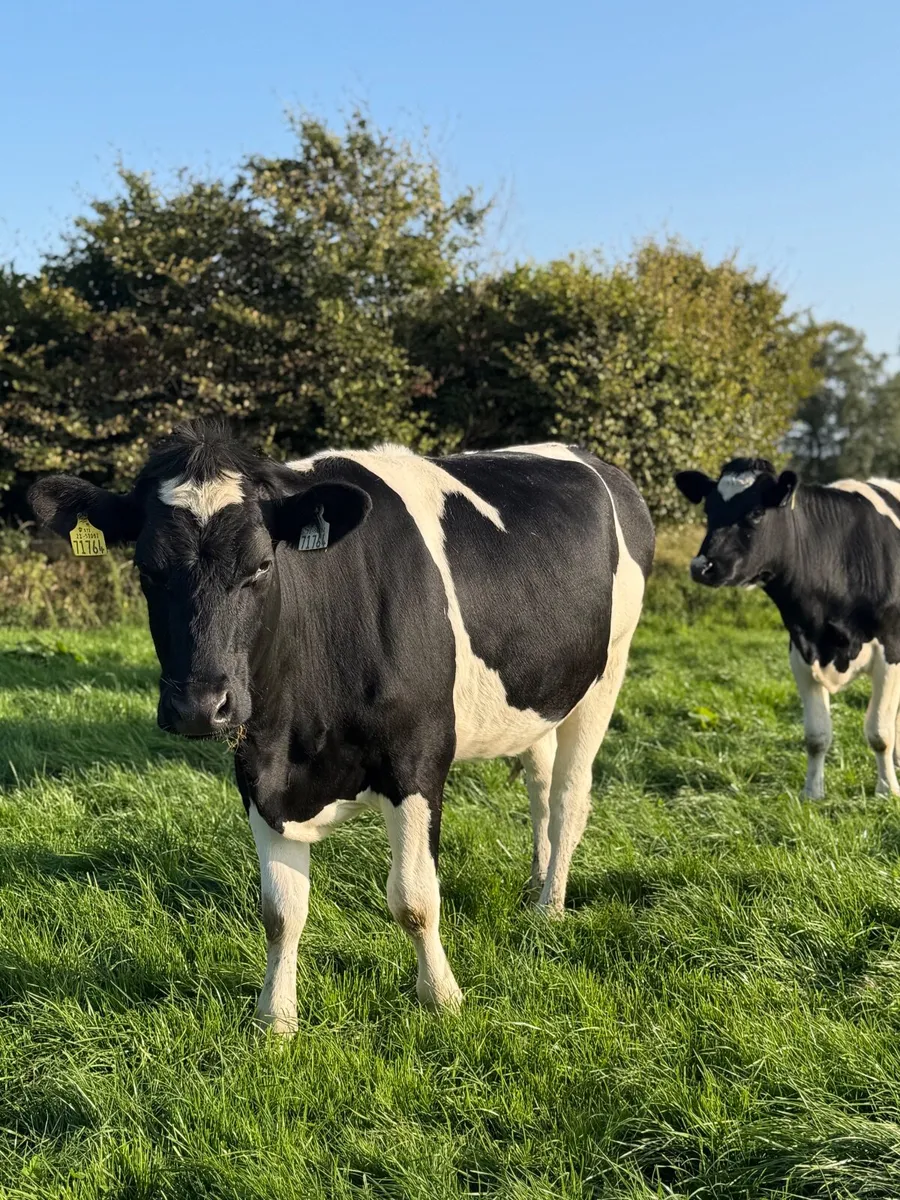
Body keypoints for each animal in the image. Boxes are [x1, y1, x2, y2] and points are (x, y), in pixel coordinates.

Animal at [29, 423, 654, 1033]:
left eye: (261, 565)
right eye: (146, 569)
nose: (200, 707)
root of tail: (585, 455)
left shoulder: (418, 755)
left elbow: (414, 898)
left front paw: (442, 998)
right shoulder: (259, 767)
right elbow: (281, 910)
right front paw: (275, 1019)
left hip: (609, 671)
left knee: (570, 798)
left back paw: (550, 909)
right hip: (540, 696)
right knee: (540, 786)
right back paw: (536, 885)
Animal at [675, 456, 900, 800]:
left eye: (756, 512)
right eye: (708, 509)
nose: (702, 566)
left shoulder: (891, 649)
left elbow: (879, 732)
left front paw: (887, 791)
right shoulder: (801, 651)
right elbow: (816, 735)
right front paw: (812, 793)